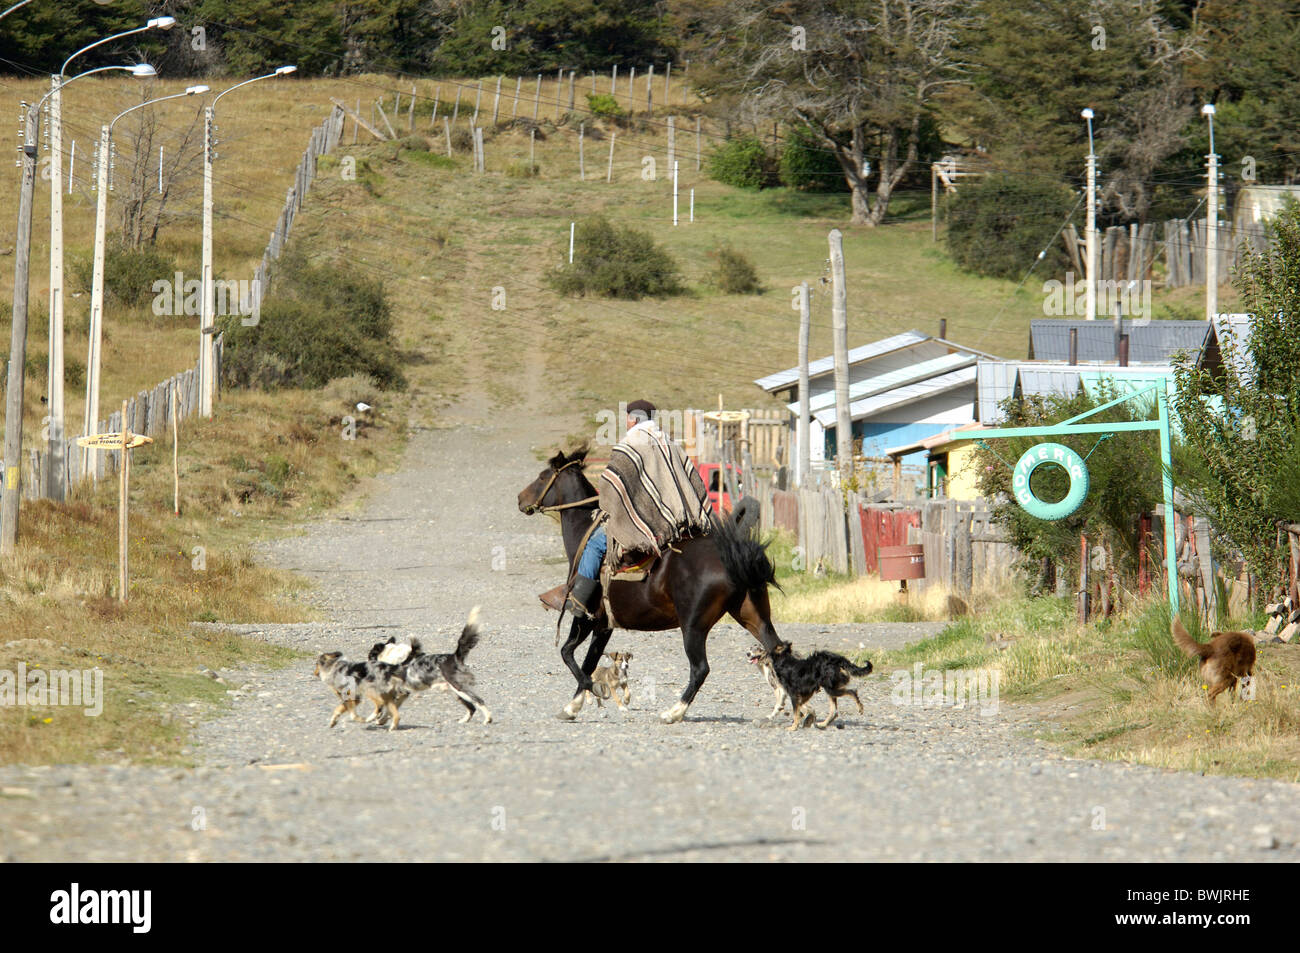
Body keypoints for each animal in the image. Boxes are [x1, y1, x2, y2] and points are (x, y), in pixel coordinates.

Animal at [517, 447, 780, 722]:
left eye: (542, 477)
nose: (520, 499)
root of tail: (734, 559)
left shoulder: (587, 618)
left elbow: (568, 653)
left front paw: (591, 692)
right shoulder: (603, 625)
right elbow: (589, 661)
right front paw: (574, 705)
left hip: (693, 627)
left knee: (700, 669)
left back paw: (673, 711)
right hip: (753, 616)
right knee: (776, 650)